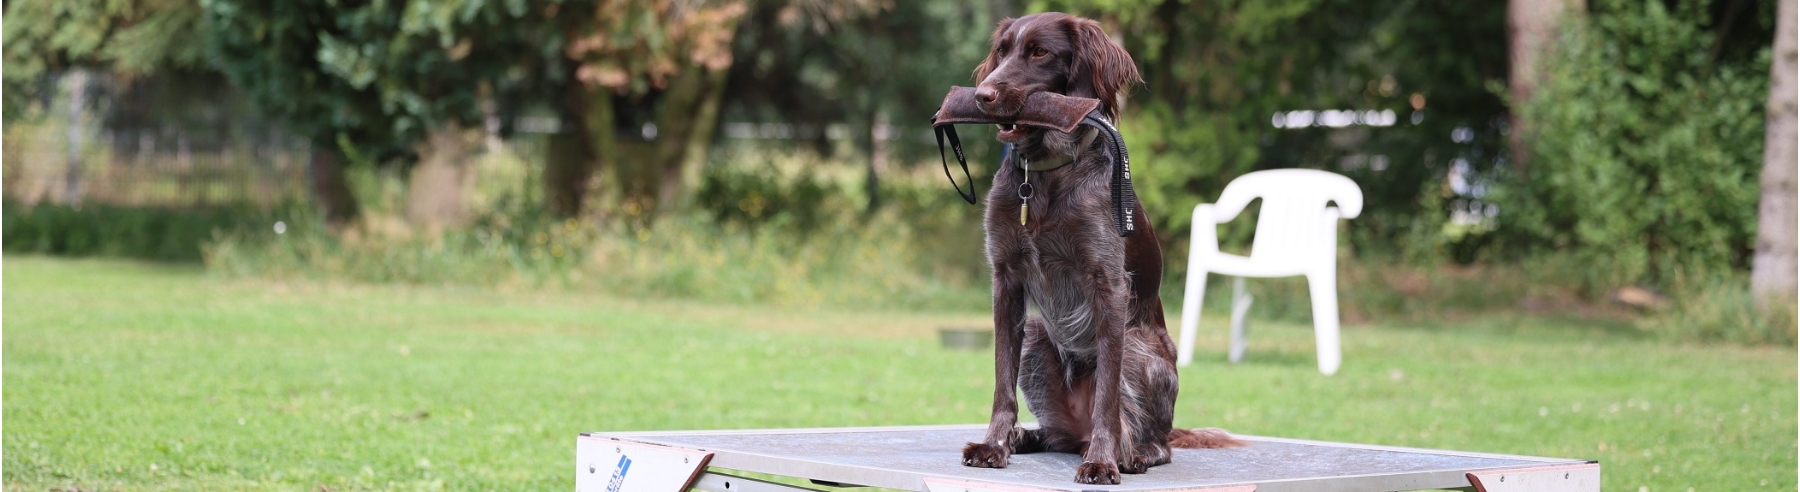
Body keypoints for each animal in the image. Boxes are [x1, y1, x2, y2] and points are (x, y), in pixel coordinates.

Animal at [964, 10, 1245, 482]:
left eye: (1040, 52)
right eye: (1001, 51)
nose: (983, 95)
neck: (1045, 175)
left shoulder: (1108, 284)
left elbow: (1108, 398)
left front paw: (1102, 460)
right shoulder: (1006, 280)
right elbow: (1002, 383)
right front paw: (994, 444)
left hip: (1138, 345)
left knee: (1156, 440)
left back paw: (1132, 453)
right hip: (1038, 335)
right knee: (1056, 436)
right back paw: (1026, 437)